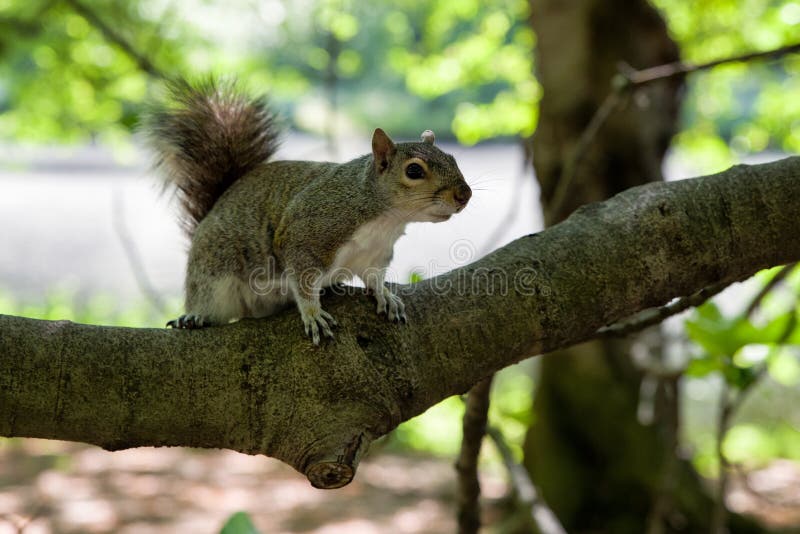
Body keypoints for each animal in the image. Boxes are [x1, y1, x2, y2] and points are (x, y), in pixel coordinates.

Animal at [145, 81, 468, 346]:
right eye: (414, 171)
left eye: (452, 158)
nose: (465, 195)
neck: (383, 219)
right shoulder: (306, 237)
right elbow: (302, 281)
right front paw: (313, 313)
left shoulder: (375, 254)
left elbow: (374, 278)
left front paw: (385, 296)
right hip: (214, 271)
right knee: (212, 303)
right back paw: (194, 317)